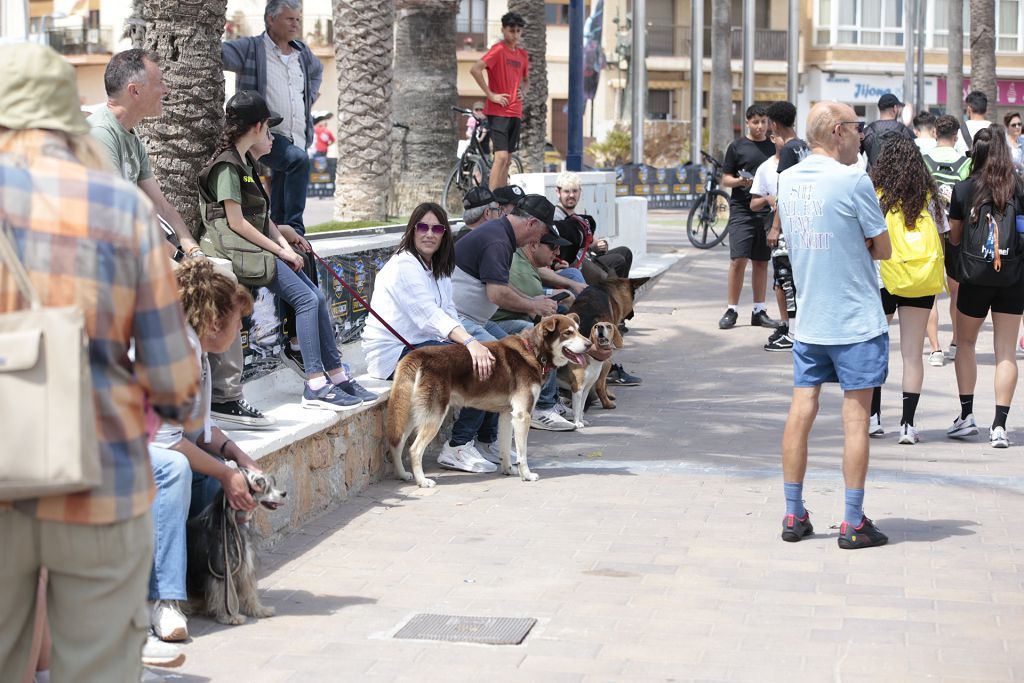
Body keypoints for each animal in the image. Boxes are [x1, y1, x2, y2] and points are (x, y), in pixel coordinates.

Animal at [185, 471, 286, 626]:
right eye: (261, 484)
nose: (284, 493)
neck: (231, 523)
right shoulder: (221, 569)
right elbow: (224, 595)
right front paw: (230, 617)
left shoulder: (245, 566)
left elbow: (250, 590)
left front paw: (258, 610)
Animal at [385, 315, 593, 485]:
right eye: (568, 333)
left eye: (578, 330)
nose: (589, 344)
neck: (533, 351)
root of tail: (417, 355)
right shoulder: (522, 415)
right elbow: (522, 453)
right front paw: (526, 475)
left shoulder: (507, 415)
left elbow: (505, 447)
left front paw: (509, 470)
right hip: (434, 416)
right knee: (414, 449)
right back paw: (422, 481)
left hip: (410, 415)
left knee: (396, 443)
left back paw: (402, 474)